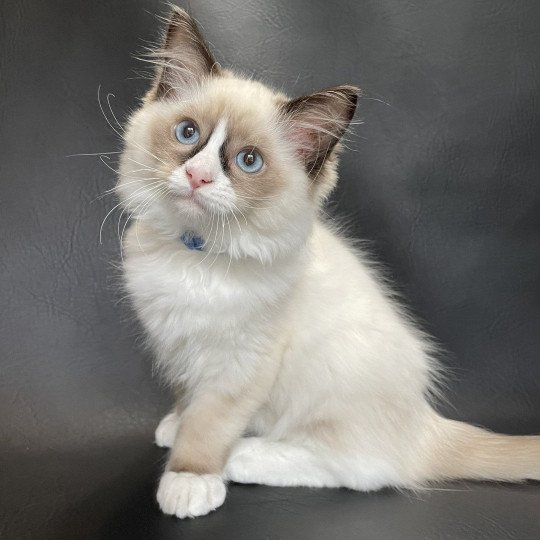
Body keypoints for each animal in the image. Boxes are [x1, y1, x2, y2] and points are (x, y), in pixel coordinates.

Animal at [119, 5, 540, 520]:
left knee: (365, 470)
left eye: (248, 161)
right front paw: (175, 425)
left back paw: (246, 456)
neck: (195, 252)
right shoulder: (178, 346)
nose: (198, 176)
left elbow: (209, 424)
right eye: (188, 133)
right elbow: (187, 399)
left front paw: (189, 478)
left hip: (332, 371)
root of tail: (424, 422)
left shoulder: (240, 365)